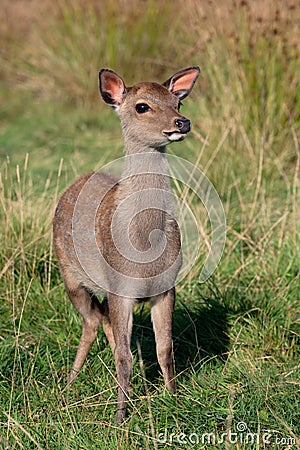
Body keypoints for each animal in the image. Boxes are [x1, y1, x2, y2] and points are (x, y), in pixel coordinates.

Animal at [53, 66, 200, 422]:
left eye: (178, 101)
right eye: (142, 106)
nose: (182, 123)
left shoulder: (166, 287)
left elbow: (165, 349)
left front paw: (174, 398)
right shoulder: (121, 287)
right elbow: (125, 355)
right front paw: (121, 416)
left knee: (103, 319)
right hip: (69, 273)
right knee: (92, 320)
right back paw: (69, 382)